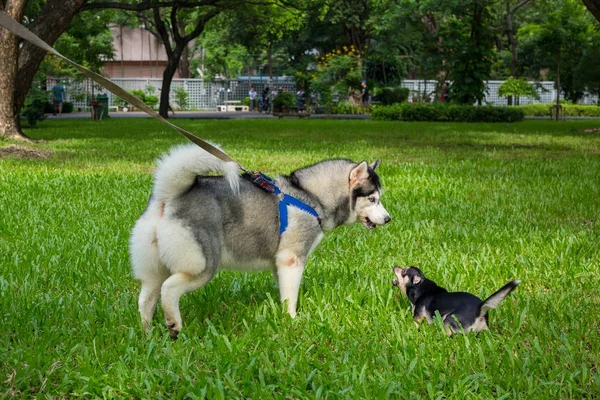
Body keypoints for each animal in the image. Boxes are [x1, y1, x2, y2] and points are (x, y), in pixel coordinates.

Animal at [129, 144, 392, 338]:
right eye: (372, 199)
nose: (388, 219)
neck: (309, 196)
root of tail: (168, 196)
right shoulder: (291, 259)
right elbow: (291, 297)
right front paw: (292, 320)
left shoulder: (280, 263)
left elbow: (285, 292)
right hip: (202, 265)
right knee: (169, 289)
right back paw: (173, 325)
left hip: (155, 268)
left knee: (146, 298)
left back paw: (147, 333)